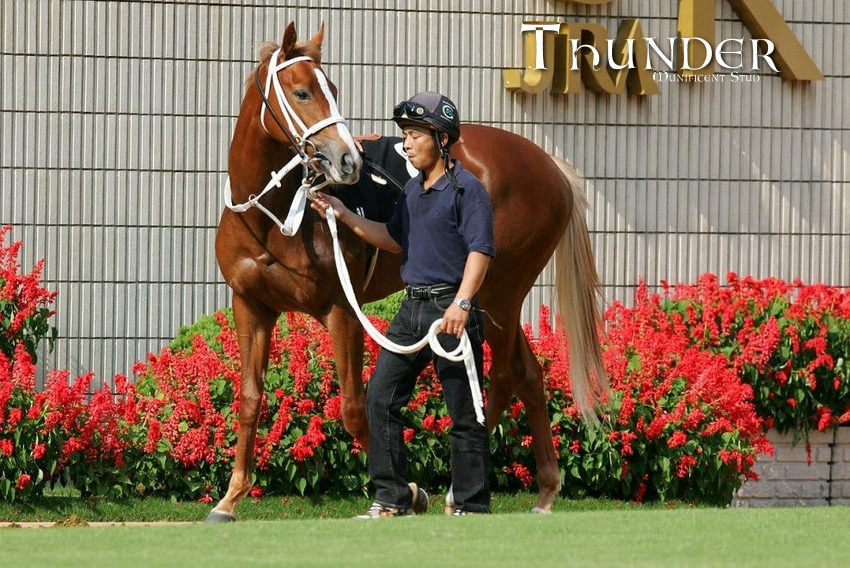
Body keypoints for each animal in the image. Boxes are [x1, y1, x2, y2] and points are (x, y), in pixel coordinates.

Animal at [208, 22, 608, 521]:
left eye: (332, 89)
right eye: (301, 92)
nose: (348, 161)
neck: (274, 220)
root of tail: (550, 166)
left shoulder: (342, 309)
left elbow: (355, 408)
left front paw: (408, 491)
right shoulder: (251, 306)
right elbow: (249, 399)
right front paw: (230, 497)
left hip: (501, 291)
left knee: (502, 375)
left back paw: (459, 490)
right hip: (494, 298)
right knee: (527, 374)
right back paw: (545, 489)